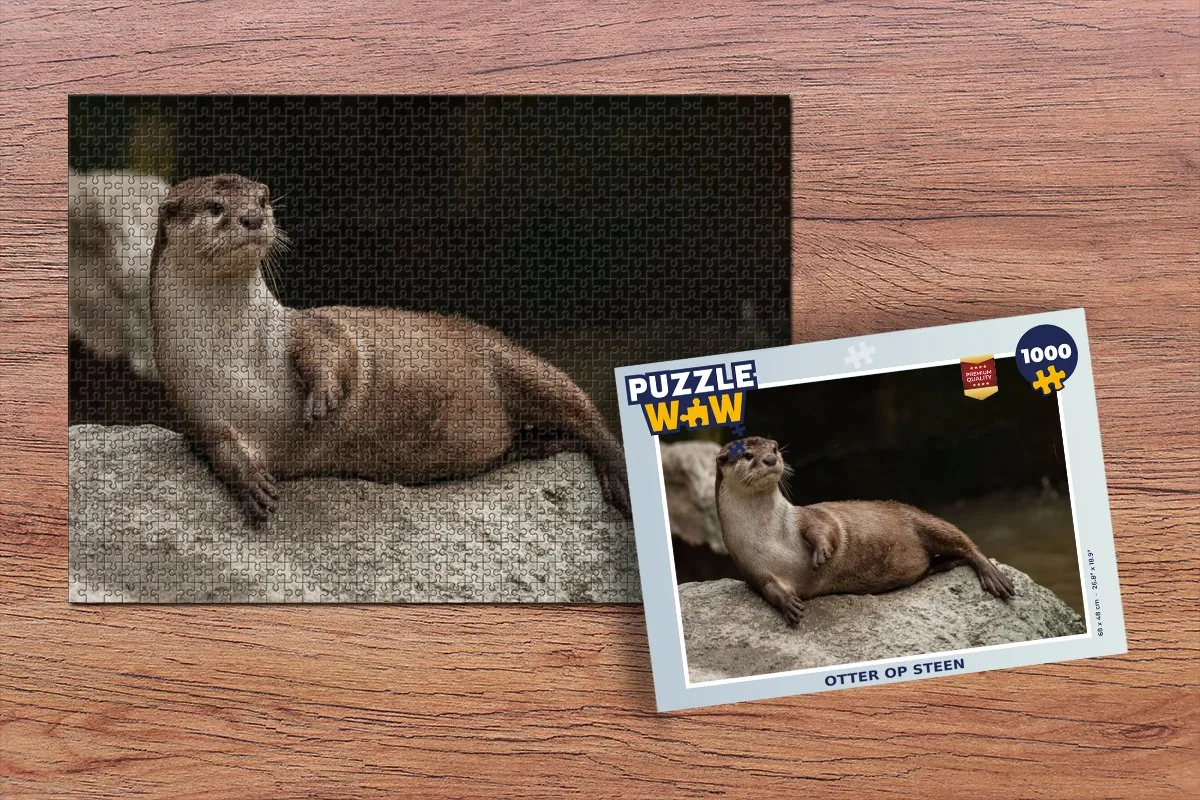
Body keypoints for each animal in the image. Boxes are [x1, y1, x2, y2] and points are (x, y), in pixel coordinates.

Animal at [149, 174, 629, 523]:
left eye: (264, 199)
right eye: (215, 207)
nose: (252, 218)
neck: (240, 358)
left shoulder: (303, 327)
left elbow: (334, 350)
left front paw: (322, 396)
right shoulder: (189, 397)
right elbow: (217, 446)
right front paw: (250, 483)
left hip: (510, 358)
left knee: (586, 413)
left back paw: (618, 475)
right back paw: (533, 446)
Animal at [715, 437, 1015, 625]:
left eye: (775, 447)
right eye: (748, 455)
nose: (769, 459)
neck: (772, 536)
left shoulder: (808, 516)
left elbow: (826, 526)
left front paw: (821, 552)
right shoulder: (750, 566)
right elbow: (769, 588)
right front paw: (790, 604)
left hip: (920, 519)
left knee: (964, 542)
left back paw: (993, 576)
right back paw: (944, 565)